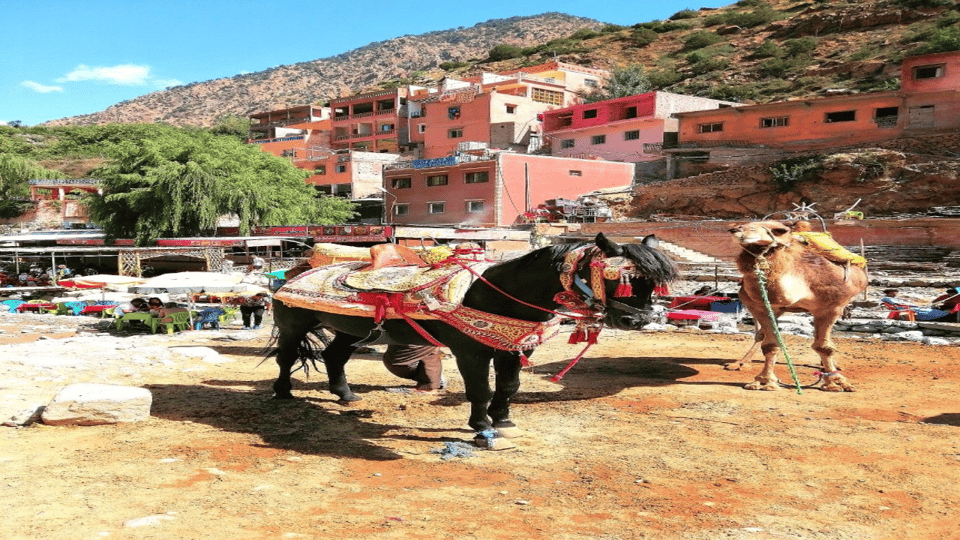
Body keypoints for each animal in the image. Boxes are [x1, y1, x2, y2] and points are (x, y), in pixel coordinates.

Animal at [266, 233, 680, 448]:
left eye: (652, 283)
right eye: (619, 278)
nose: (636, 320)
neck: (493, 293)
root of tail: (297, 267)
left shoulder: (512, 347)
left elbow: (509, 387)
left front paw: (504, 420)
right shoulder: (471, 351)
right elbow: (480, 389)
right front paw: (482, 427)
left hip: (354, 330)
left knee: (335, 357)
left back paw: (346, 395)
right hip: (294, 325)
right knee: (286, 358)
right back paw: (284, 394)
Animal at [728, 220, 872, 392]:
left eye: (778, 230)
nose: (734, 229)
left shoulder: (831, 307)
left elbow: (824, 347)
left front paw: (836, 382)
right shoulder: (761, 306)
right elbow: (770, 344)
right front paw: (764, 381)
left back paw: (829, 367)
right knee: (760, 334)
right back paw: (739, 363)